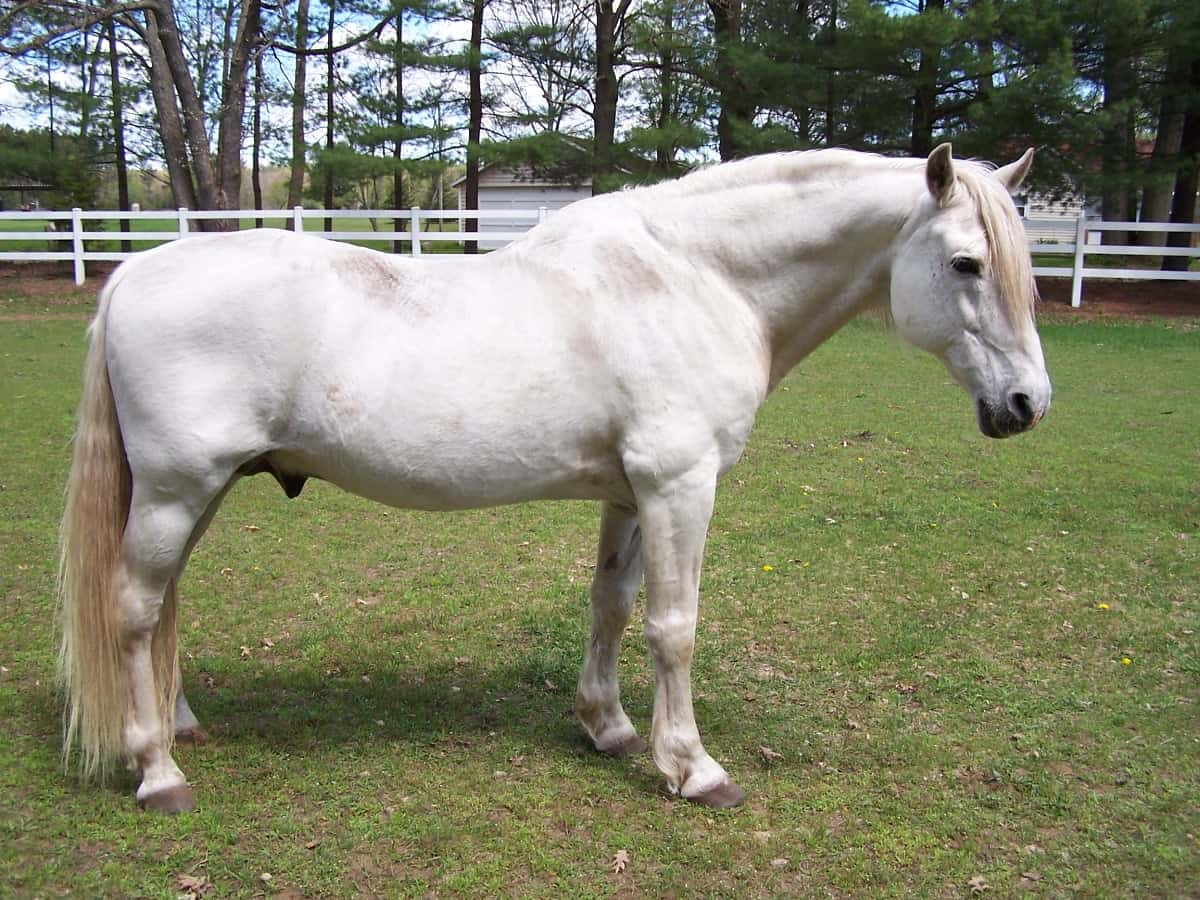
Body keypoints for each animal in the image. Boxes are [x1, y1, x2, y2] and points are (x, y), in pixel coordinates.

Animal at [58, 144, 1051, 814]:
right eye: (966, 263)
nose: (1027, 403)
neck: (695, 279)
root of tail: (134, 270)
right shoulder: (680, 485)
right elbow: (674, 628)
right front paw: (694, 768)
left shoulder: (630, 493)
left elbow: (611, 605)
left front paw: (608, 727)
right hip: (178, 490)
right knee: (134, 609)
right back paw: (158, 772)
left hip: (200, 491)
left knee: (163, 604)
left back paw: (180, 726)